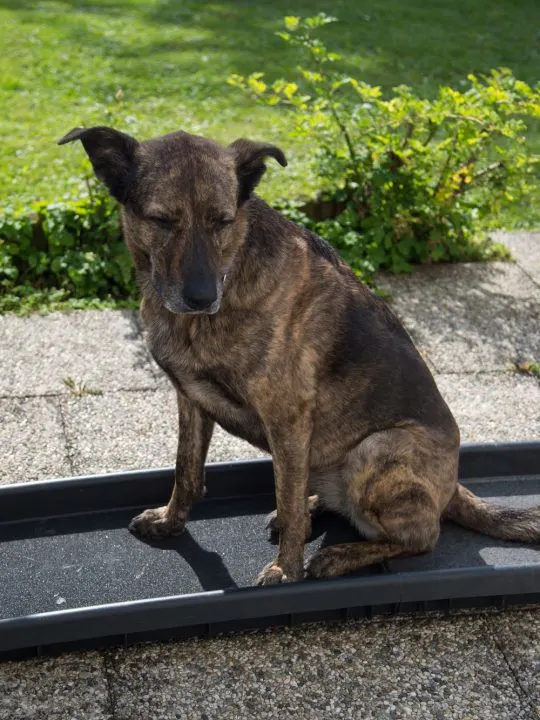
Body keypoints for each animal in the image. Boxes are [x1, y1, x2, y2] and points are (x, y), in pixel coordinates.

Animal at [59, 125, 540, 584]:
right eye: (160, 220)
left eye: (223, 221)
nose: (201, 297)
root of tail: (454, 486)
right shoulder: (191, 399)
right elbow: (187, 473)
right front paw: (169, 523)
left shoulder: (286, 417)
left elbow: (286, 504)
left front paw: (285, 571)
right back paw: (316, 506)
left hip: (378, 448)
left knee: (421, 538)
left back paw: (341, 554)